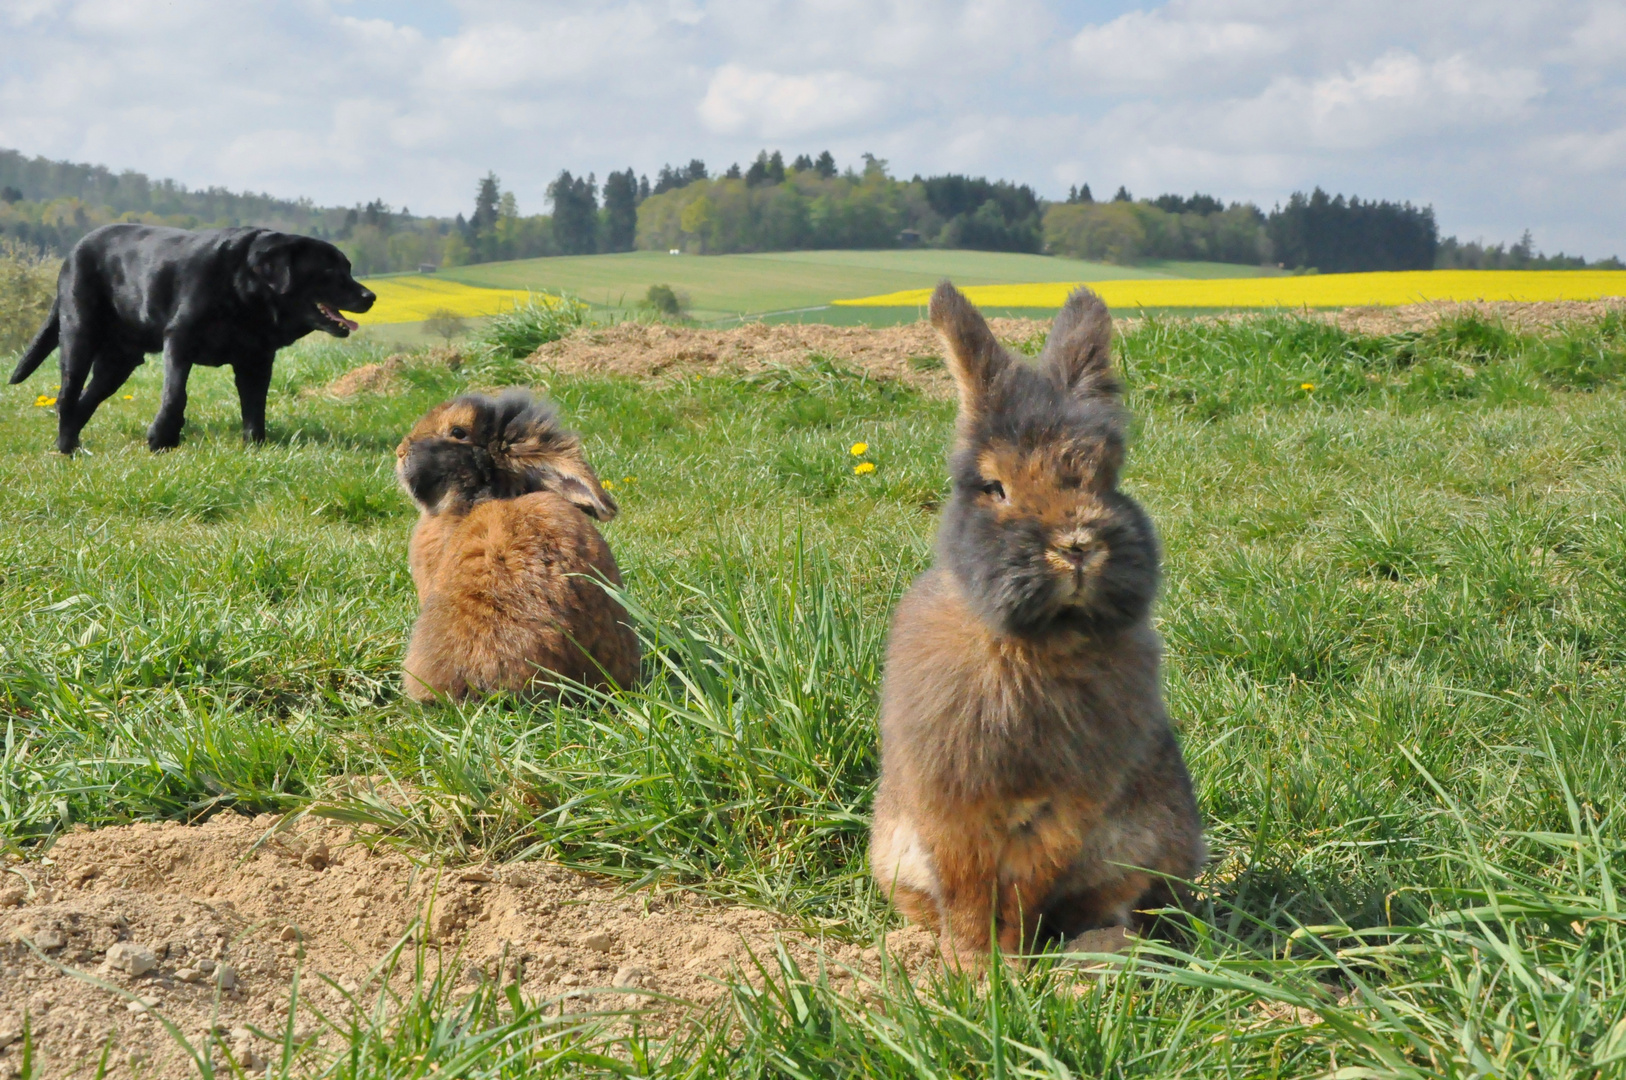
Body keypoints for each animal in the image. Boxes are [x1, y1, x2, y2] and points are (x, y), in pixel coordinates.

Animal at [7, 222, 373, 452]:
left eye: (348, 268)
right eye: (329, 271)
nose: (370, 296)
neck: (244, 290)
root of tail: (71, 254)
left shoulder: (256, 359)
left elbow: (255, 405)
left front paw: (254, 446)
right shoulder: (179, 340)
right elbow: (175, 396)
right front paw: (162, 439)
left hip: (118, 362)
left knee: (87, 399)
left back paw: (76, 446)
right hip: (79, 335)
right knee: (67, 396)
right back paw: (65, 449)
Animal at [871, 279, 1203, 969]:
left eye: (1109, 477)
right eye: (994, 486)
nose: (1077, 544)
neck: (1034, 644)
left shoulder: (1064, 812)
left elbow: (1023, 895)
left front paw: (1013, 968)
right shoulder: (952, 808)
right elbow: (968, 895)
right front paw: (971, 972)